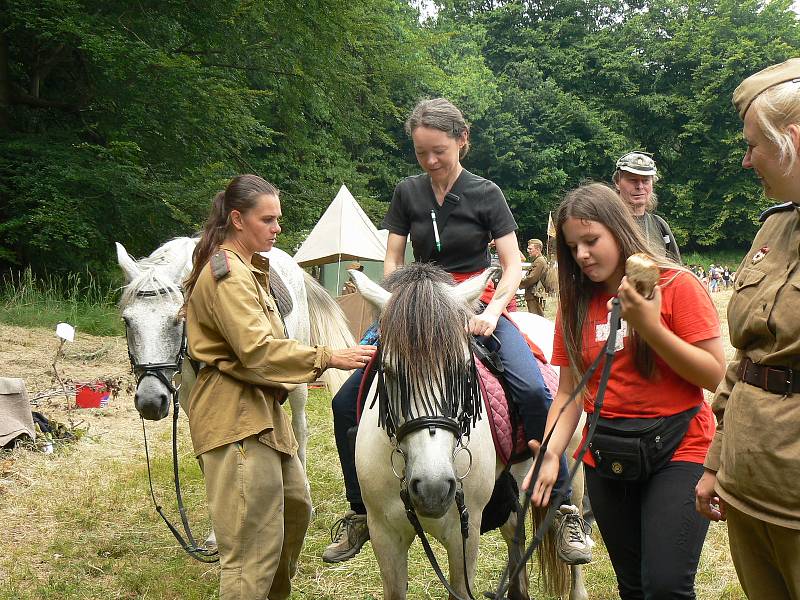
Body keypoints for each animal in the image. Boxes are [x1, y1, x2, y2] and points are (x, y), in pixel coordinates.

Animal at [352, 264, 588, 600]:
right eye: (388, 372)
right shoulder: (385, 535)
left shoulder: (464, 534)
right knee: (514, 530)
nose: (434, 488)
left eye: (464, 370)